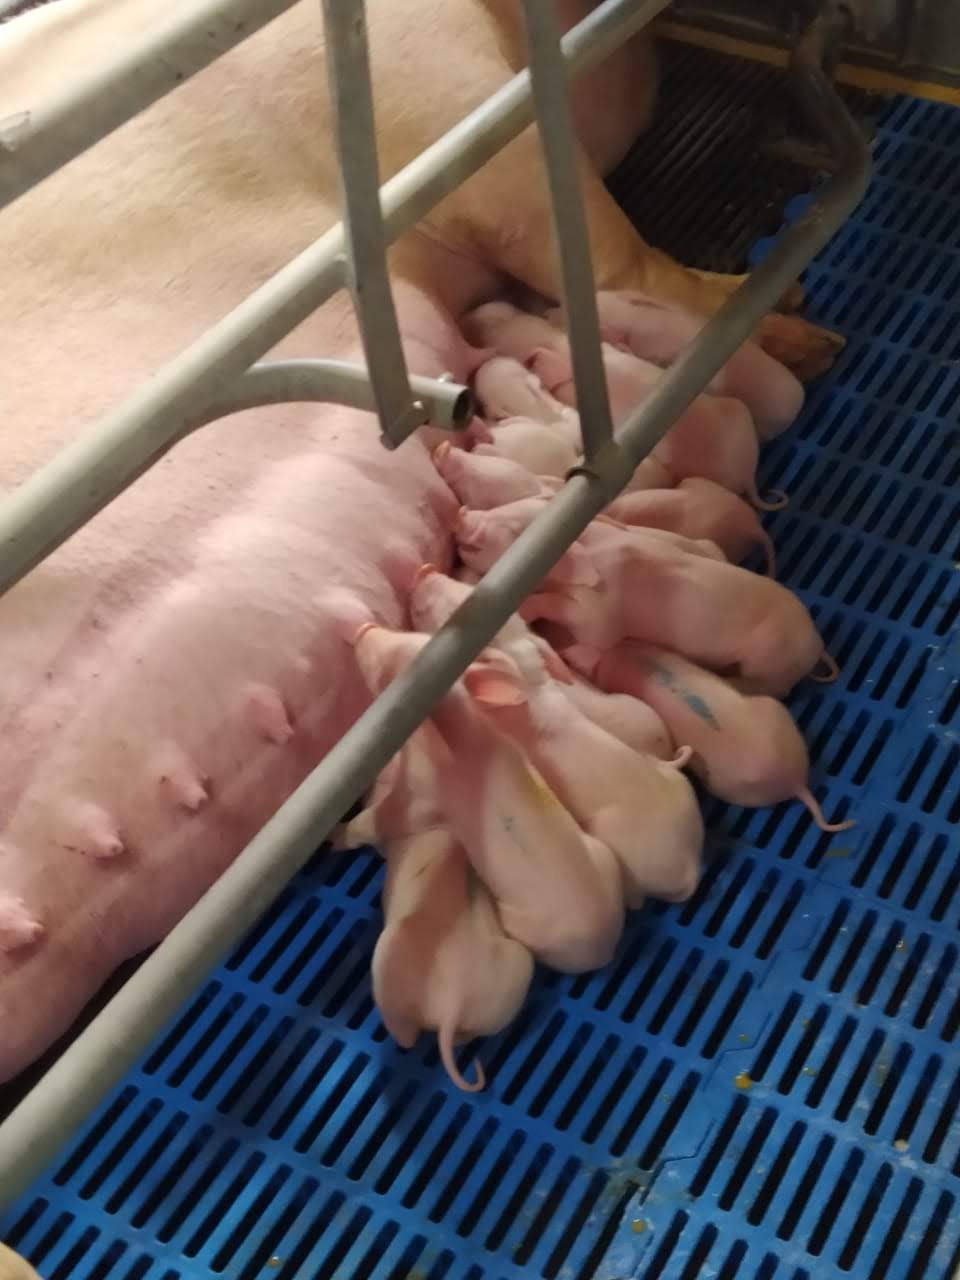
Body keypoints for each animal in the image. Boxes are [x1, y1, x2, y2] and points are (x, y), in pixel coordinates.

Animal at [351, 625, 625, 972]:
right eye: (422, 638)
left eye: (390, 681)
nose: (363, 629)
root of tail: (606, 948)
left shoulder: (423, 797)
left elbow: (383, 818)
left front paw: (337, 836)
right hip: (605, 857)